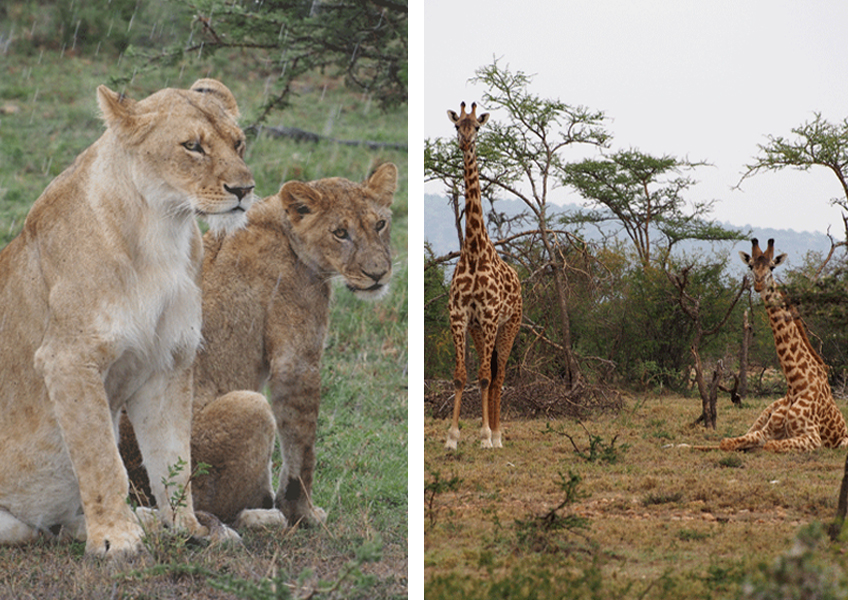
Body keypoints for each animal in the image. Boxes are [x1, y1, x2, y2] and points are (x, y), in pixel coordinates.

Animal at [0, 79, 255, 558]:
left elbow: (173, 459)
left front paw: (188, 527)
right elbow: (102, 458)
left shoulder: (169, 362)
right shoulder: (68, 360)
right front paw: (115, 539)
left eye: (238, 144)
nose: (245, 189)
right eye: (193, 146)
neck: (161, 229)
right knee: (31, 529)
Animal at [120, 163, 397, 528]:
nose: (378, 274)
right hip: (247, 408)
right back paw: (264, 514)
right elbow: (302, 449)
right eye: (340, 233)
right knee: (213, 511)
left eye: (380, 224)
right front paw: (303, 513)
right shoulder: (296, 363)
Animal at [720, 238, 848, 452]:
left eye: (772, 267)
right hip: (764, 412)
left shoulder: (813, 438)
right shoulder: (765, 431)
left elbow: (769, 446)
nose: (758, 284)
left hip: (842, 443)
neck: (796, 383)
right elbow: (726, 442)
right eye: (751, 265)